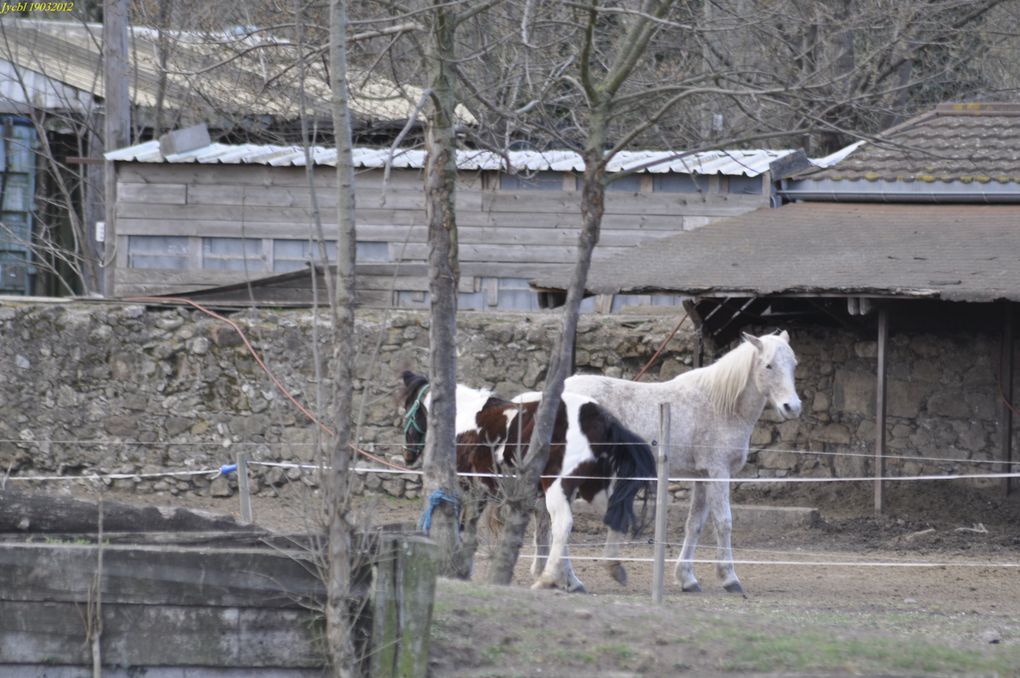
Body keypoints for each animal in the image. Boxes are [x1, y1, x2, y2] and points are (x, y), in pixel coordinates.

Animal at [397, 371, 652, 591]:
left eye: (407, 408)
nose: (408, 454)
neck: (461, 418)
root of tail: (597, 417)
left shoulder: (470, 489)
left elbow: (465, 529)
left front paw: (460, 569)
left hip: (558, 487)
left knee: (563, 524)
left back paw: (547, 579)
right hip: (590, 489)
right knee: (610, 516)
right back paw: (603, 571)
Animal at [563, 328, 799, 591]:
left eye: (794, 365)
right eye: (768, 365)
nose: (792, 407)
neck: (721, 405)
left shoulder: (703, 477)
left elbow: (694, 524)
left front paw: (687, 578)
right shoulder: (719, 472)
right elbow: (724, 521)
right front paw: (729, 578)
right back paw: (572, 581)